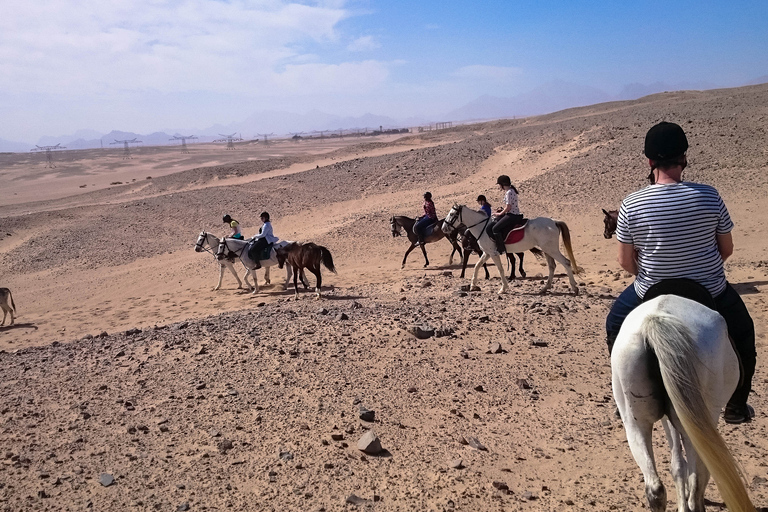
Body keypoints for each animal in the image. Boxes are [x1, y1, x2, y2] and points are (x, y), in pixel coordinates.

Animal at [616, 296, 752, 512]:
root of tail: (654, 321)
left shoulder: (670, 417)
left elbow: (677, 465)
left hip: (635, 423)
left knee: (655, 489)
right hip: (699, 421)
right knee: (698, 480)